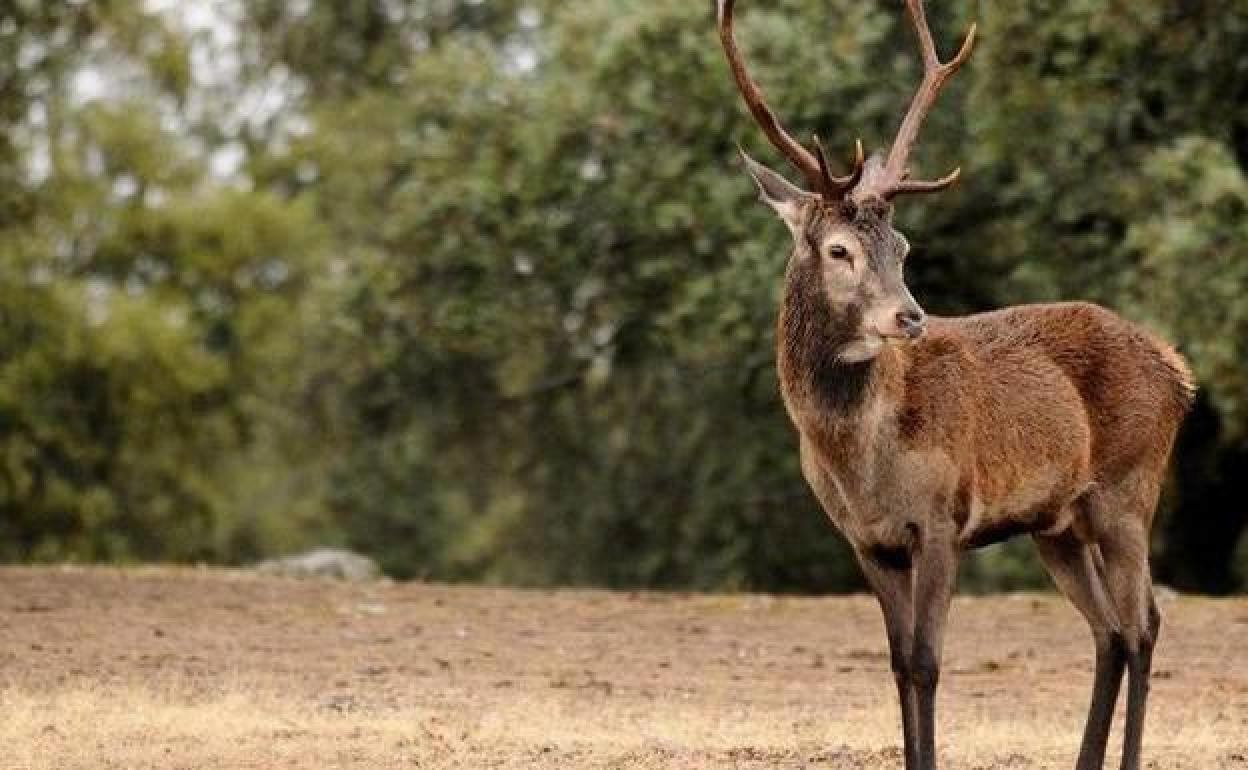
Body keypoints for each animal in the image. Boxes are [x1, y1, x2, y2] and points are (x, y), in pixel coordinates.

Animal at [716, 2, 1195, 769]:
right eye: (839, 249)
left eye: (903, 246)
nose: (909, 316)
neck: (861, 461)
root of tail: (1180, 371)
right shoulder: (866, 541)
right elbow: (894, 664)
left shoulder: (941, 518)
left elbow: (927, 662)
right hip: (1057, 524)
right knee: (1110, 632)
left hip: (1129, 491)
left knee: (1145, 623)